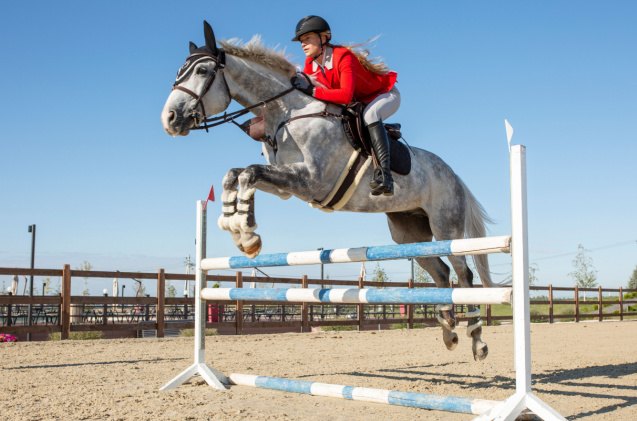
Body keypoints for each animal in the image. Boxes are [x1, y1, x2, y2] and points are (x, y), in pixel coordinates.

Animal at [161, 21, 494, 360]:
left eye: (202, 70)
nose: (169, 119)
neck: (288, 112)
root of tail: (454, 175)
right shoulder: (287, 185)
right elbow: (236, 175)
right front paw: (238, 228)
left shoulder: (311, 180)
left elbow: (249, 174)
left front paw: (247, 234)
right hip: (408, 234)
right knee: (440, 271)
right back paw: (449, 331)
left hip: (445, 226)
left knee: (463, 273)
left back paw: (477, 339)